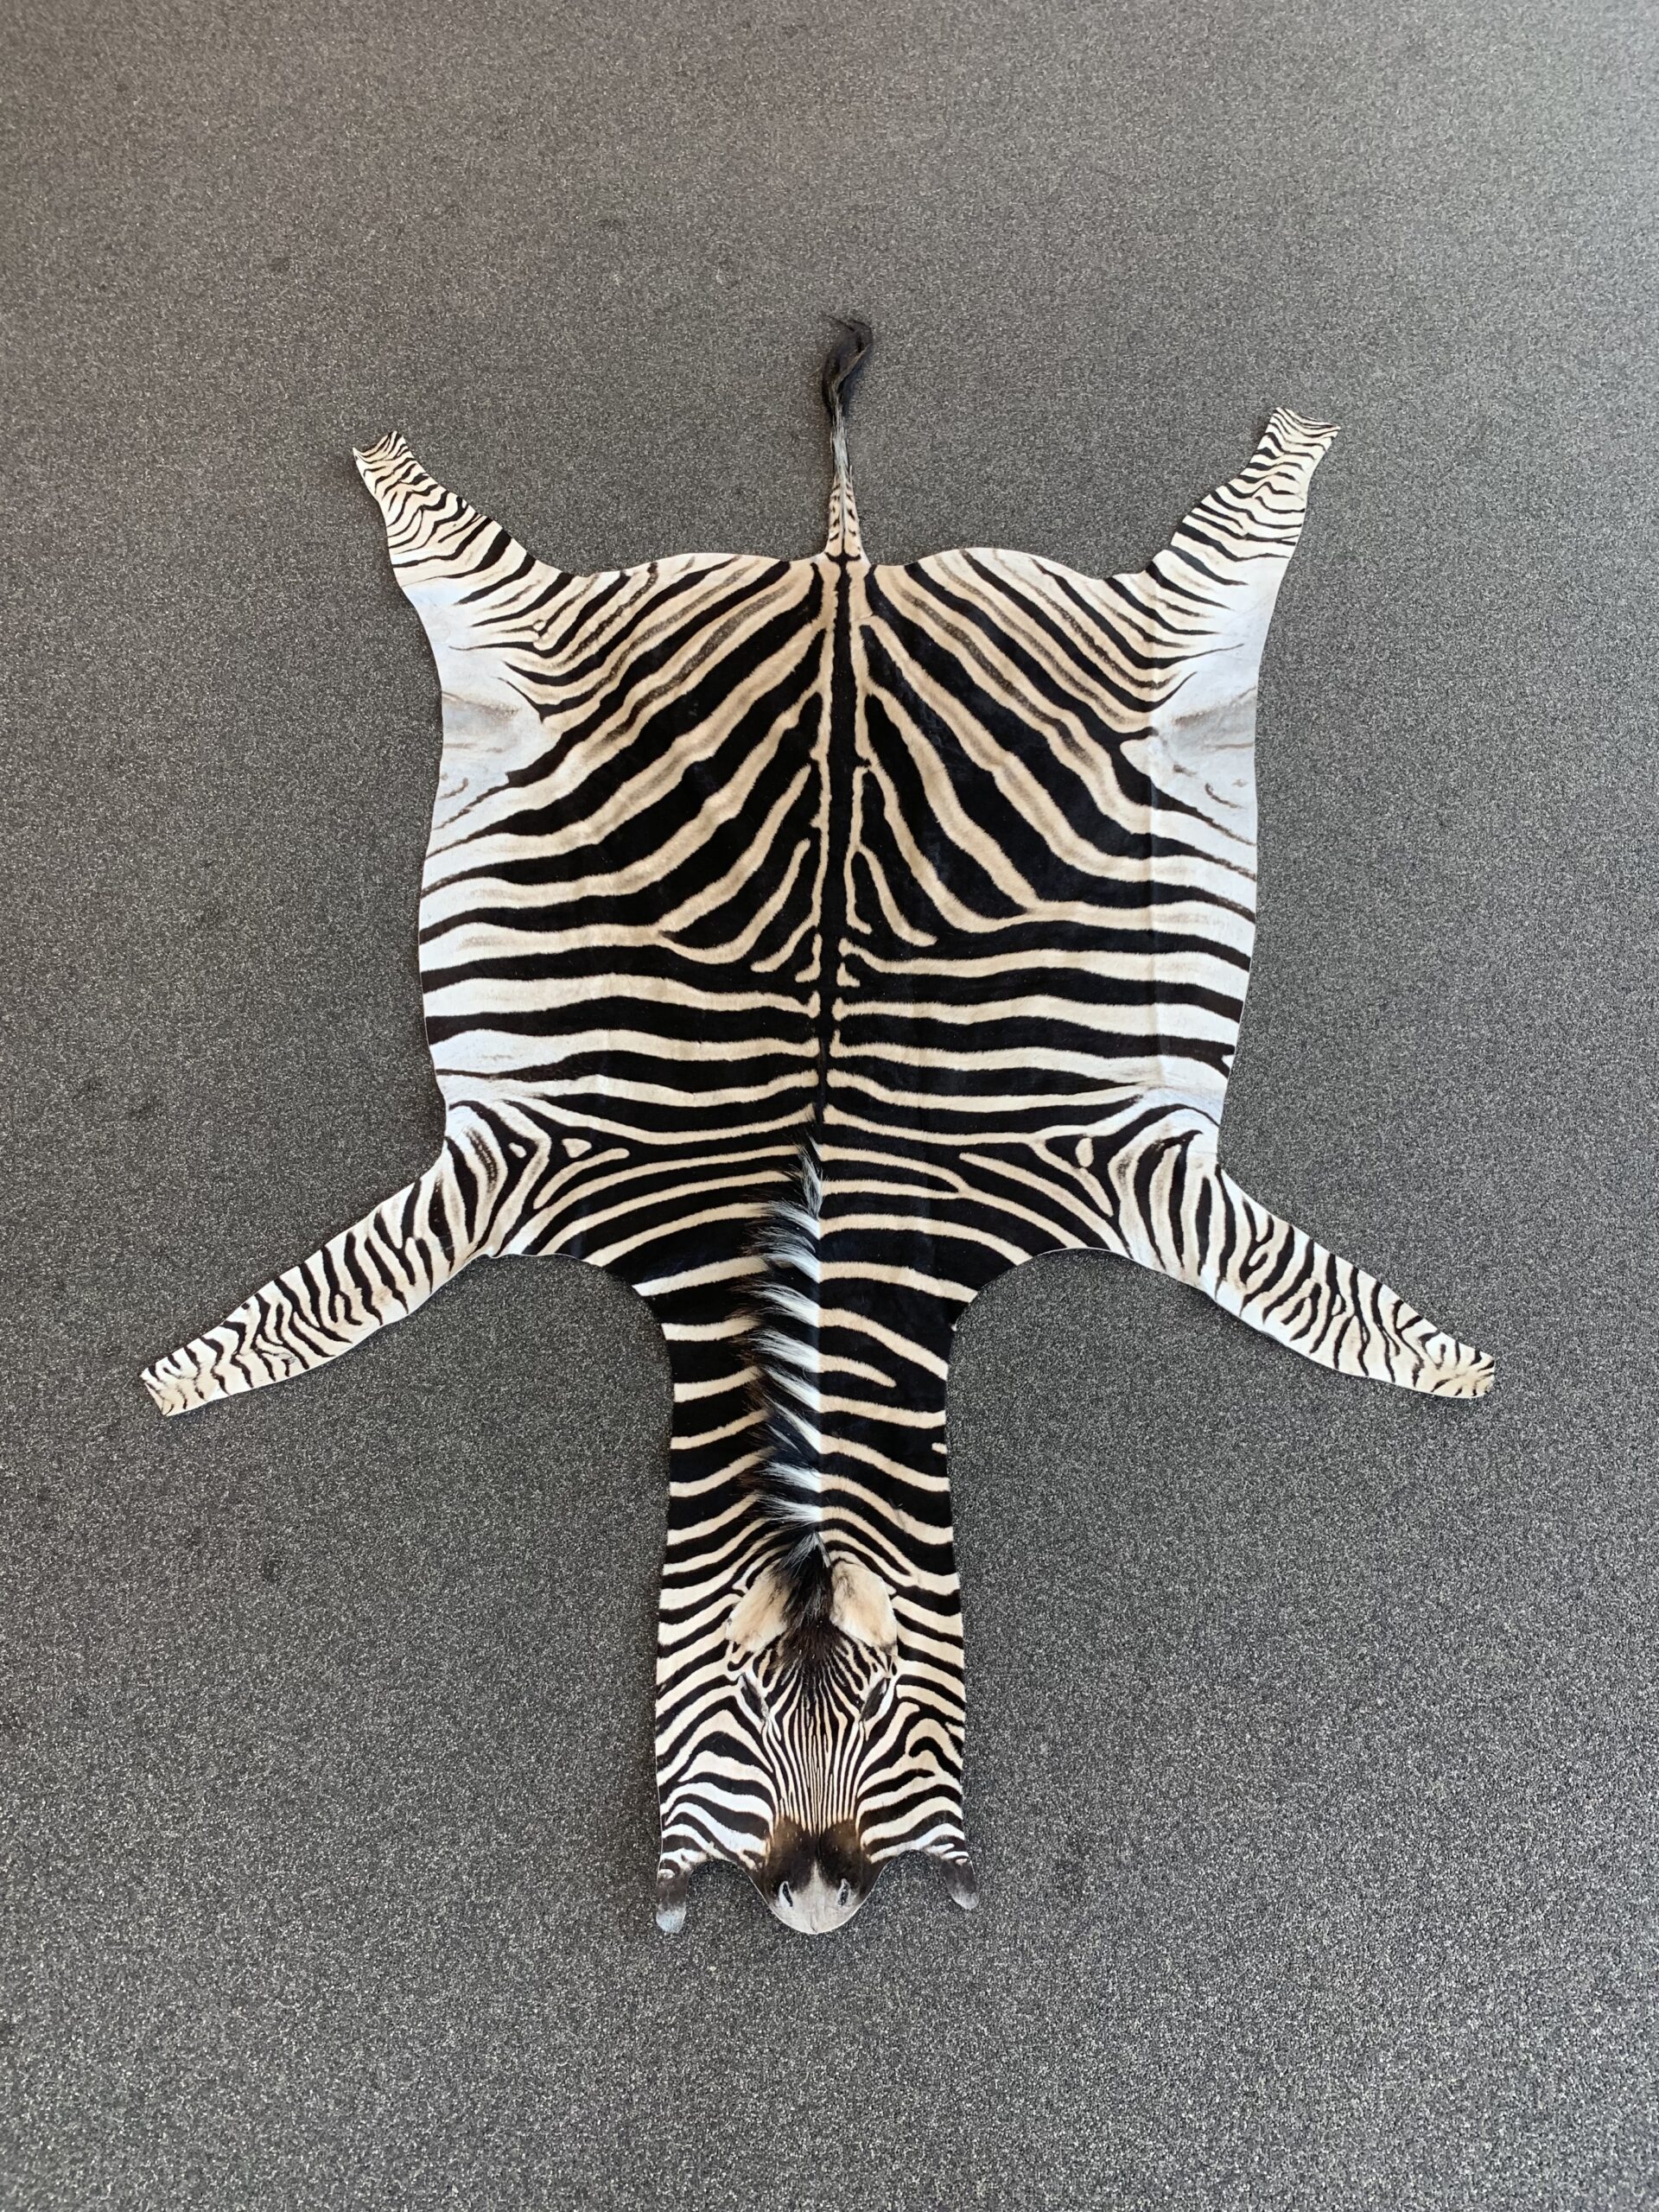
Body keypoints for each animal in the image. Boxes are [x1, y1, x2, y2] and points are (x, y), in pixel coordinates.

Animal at [141, 322, 1493, 1938]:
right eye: (733, 1715)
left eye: (895, 1711)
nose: (816, 1899)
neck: (815, 1225)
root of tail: (843, 581)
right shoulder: (514, 1173)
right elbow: (319, 1307)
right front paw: (179, 1382)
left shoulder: (1127, 1179)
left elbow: (1315, 1300)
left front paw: (1447, 1368)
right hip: (548, 642)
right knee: (450, 548)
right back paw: (389, 453)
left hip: (1141, 652)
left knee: (1230, 551)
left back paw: (1299, 432)